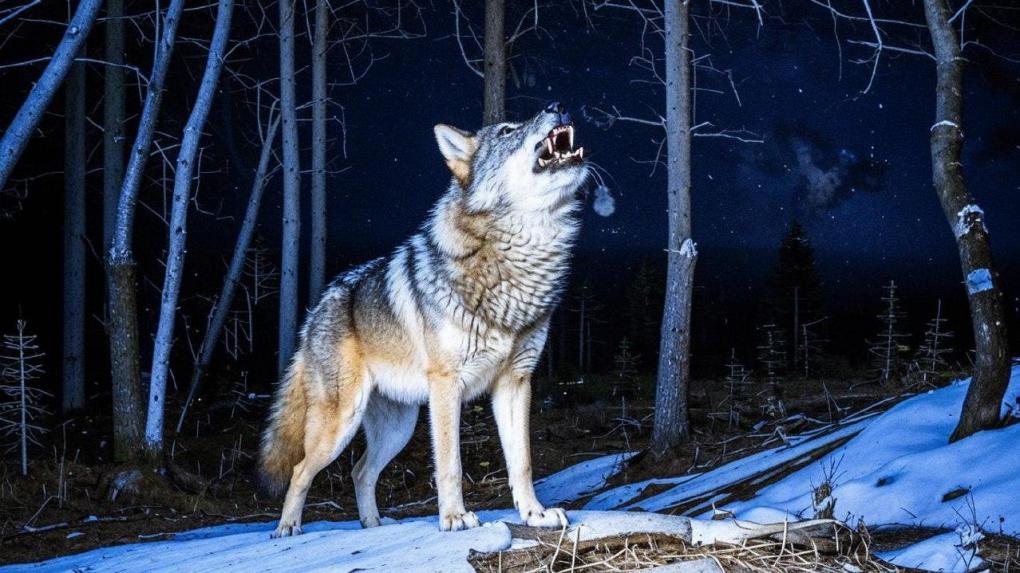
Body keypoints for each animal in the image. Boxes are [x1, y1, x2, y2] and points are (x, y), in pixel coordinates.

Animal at [259, 101, 587, 534]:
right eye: (507, 130)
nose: (558, 105)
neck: (520, 256)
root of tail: (315, 312)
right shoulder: (447, 386)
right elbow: (450, 463)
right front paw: (454, 518)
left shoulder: (516, 382)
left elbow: (523, 462)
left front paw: (535, 514)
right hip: (341, 424)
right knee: (300, 470)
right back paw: (287, 529)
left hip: (399, 427)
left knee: (360, 472)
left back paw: (374, 526)